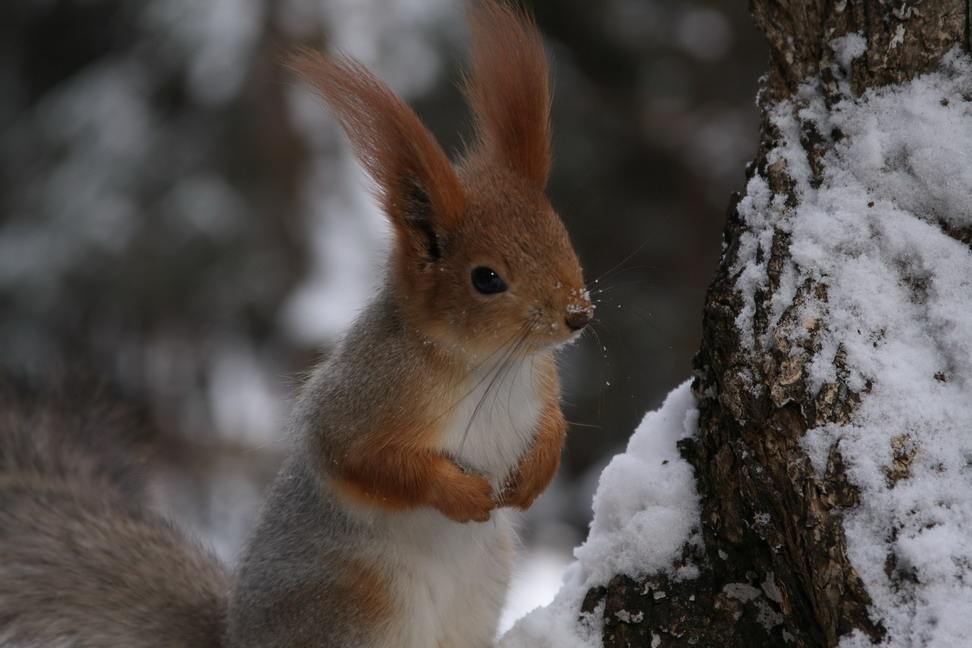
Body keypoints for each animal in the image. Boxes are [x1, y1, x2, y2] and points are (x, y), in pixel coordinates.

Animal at [0, 1, 591, 647]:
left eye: (563, 234)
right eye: (486, 279)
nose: (578, 314)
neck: (490, 363)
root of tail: (236, 637)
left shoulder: (541, 379)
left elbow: (554, 421)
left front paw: (538, 470)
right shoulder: (365, 396)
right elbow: (362, 460)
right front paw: (459, 491)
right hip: (356, 605)